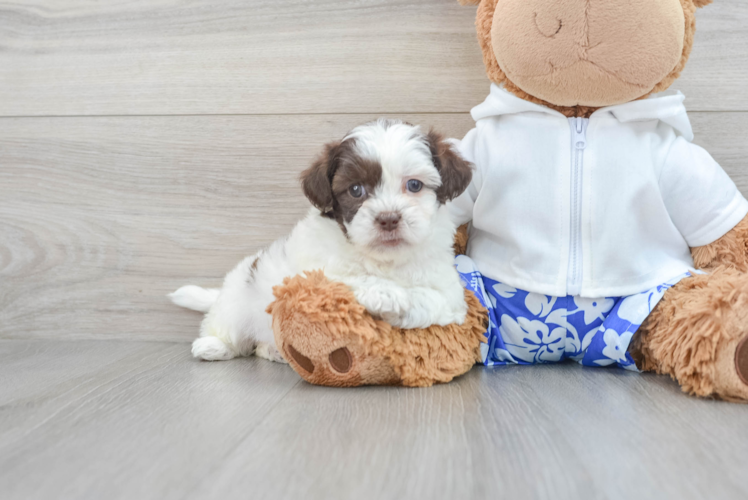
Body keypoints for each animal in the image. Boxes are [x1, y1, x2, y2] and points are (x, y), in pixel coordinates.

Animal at [171, 119, 474, 362]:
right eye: (356, 190)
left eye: (414, 185)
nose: (388, 218)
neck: (383, 260)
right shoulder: (310, 274)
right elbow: (341, 277)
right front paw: (384, 293)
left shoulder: (449, 292)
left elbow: (436, 299)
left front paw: (399, 305)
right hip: (236, 303)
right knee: (229, 331)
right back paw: (214, 346)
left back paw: (273, 350)